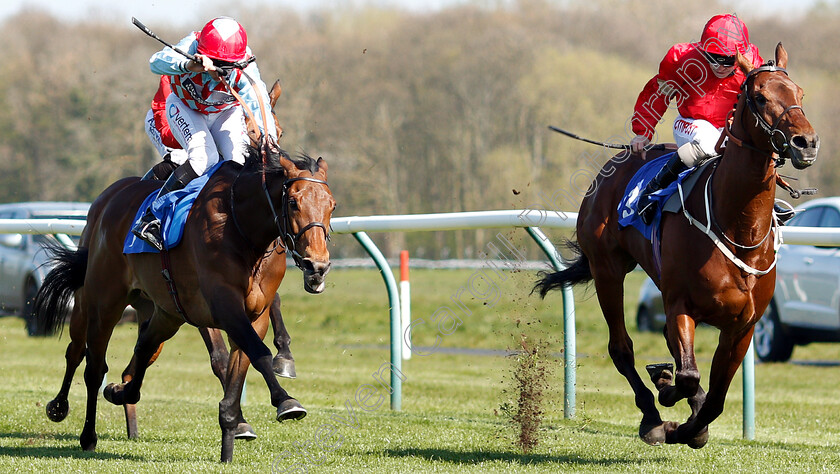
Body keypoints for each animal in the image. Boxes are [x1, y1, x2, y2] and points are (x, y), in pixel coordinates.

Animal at [33, 135, 334, 462]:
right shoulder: (223, 305)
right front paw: (285, 401)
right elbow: (256, 353)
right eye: (293, 202)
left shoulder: (255, 314)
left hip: (166, 312)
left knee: (143, 349)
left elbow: (241, 364)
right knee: (88, 362)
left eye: (332, 205)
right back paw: (78, 425)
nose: (317, 266)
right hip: (102, 301)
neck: (242, 228)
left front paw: (233, 434)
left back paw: (120, 392)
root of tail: (109, 200)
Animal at [536, 42, 816, 446]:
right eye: (761, 97)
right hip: (608, 270)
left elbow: (715, 396)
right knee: (622, 348)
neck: (738, 227)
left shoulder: (743, 325)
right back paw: (652, 416)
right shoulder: (681, 303)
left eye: (800, 94)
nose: (805, 143)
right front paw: (670, 403)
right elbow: (687, 375)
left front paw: (692, 425)